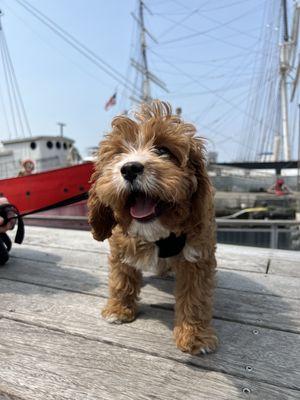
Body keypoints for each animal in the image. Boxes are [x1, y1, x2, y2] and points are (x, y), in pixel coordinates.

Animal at [88, 101, 217, 356]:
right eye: (118, 154)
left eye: (163, 151)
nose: (129, 168)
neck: (158, 234)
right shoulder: (121, 246)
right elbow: (121, 277)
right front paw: (119, 309)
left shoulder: (197, 255)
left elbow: (195, 296)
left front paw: (194, 336)